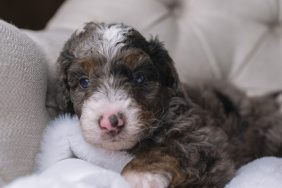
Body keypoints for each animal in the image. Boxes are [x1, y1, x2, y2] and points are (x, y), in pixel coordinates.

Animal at [54, 22, 282, 188]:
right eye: (83, 82)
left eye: (139, 77)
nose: (111, 122)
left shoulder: (203, 139)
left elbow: (170, 149)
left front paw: (138, 176)